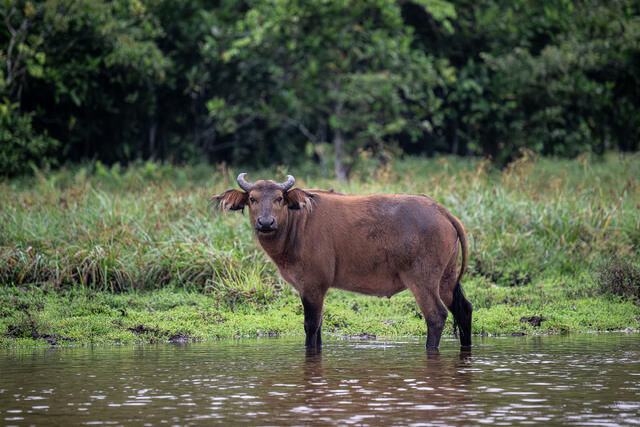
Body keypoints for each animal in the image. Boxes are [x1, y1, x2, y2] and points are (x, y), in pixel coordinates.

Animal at [214, 174, 472, 349]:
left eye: (279, 198)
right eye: (253, 198)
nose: (266, 223)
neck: (296, 224)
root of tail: (440, 210)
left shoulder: (313, 285)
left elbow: (310, 326)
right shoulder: (314, 289)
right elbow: (319, 327)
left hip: (422, 280)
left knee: (436, 316)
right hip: (446, 278)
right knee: (464, 308)